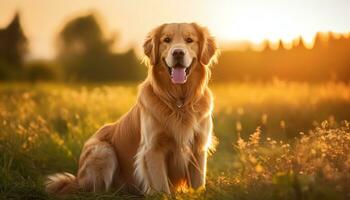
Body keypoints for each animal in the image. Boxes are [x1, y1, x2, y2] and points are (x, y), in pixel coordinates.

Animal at [45, 22, 217, 195]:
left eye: (189, 40)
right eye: (166, 40)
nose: (178, 52)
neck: (179, 102)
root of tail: (77, 179)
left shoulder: (199, 147)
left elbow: (198, 182)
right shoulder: (152, 148)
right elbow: (161, 186)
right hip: (103, 150)